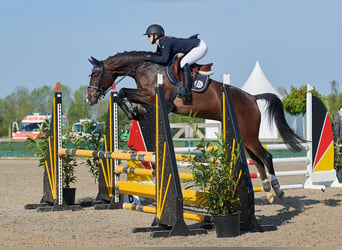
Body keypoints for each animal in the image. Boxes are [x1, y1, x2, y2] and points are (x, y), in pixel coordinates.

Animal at [87, 50, 306, 203]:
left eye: (96, 73)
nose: (89, 98)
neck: (145, 68)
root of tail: (252, 97)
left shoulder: (151, 95)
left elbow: (124, 90)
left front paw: (133, 111)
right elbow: (123, 93)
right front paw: (134, 111)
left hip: (249, 135)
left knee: (266, 157)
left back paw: (278, 190)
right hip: (244, 138)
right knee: (258, 160)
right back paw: (268, 192)